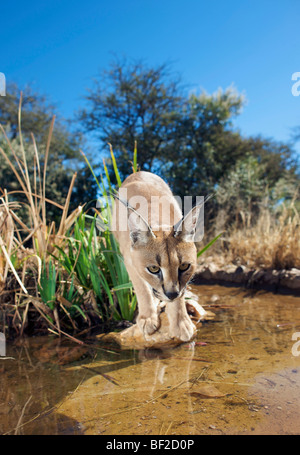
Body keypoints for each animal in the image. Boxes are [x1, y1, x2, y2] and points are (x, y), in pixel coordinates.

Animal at [111, 172, 203, 342]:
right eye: (153, 268)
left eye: (184, 266)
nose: (171, 294)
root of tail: (139, 172)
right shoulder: (129, 261)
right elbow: (142, 289)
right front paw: (148, 318)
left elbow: (181, 293)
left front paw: (181, 324)